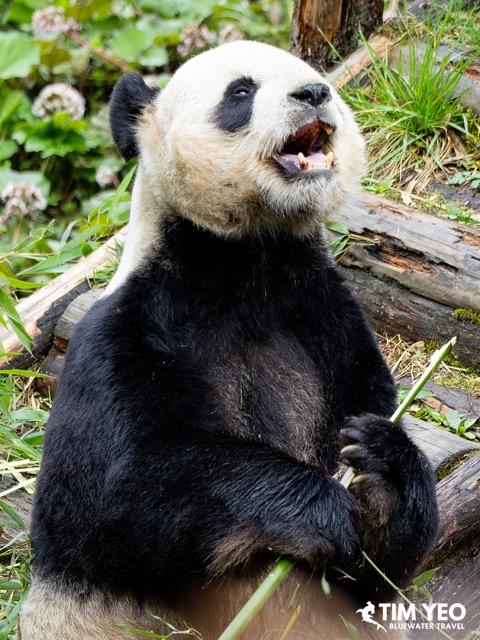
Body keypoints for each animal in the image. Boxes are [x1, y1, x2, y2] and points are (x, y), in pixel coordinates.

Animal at [21, 41, 438, 639]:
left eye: (316, 77)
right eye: (241, 91)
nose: (315, 93)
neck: (247, 260)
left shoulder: (325, 316)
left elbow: (380, 575)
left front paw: (381, 462)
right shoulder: (126, 334)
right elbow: (113, 504)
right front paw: (321, 508)